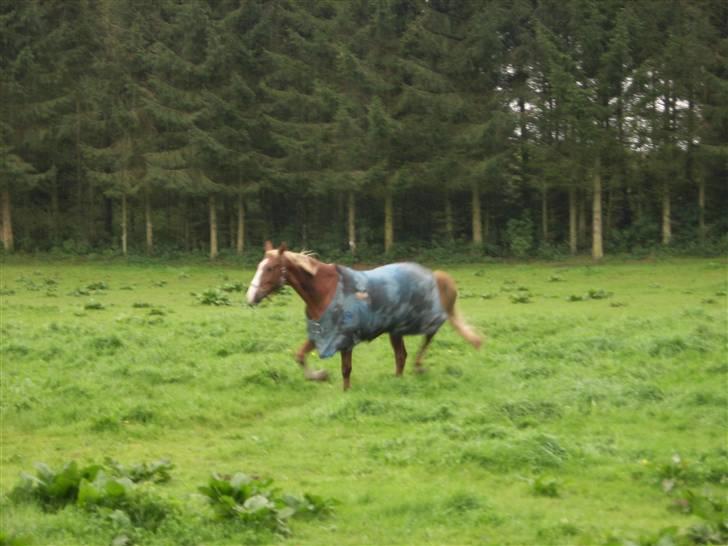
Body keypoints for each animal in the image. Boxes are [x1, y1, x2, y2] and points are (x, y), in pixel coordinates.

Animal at [246, 240, 484, 388]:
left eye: (270, 268)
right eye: (260, 265)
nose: (250, 297)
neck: (325, 290)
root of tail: (432, 275)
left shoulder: (344, 339)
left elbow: (346, 369)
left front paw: (345, 390)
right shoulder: (321, 334)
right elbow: (300, 356)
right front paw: (320, 375)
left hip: (416, 321)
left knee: (429, 334)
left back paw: (418, 367)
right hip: (395, 330)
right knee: (401, 356)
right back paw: (398, 379)